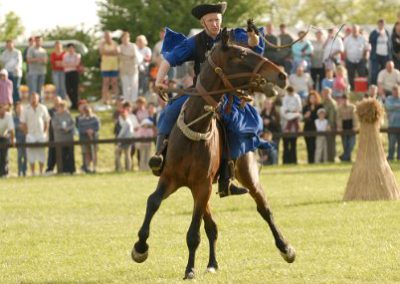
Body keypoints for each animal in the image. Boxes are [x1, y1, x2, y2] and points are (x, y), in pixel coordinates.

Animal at [133, 28, 296, 280]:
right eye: (241, 55)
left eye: (249, 49)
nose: (281, 75)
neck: (197, 128)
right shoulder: (171, 179)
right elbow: (153, 202)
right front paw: (140, 248)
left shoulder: (202, 186)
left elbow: (193, 233)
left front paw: (189, 269)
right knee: (212, 227)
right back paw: (212, 263)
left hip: (246, 176)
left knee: (264, 209)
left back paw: (285, 248)